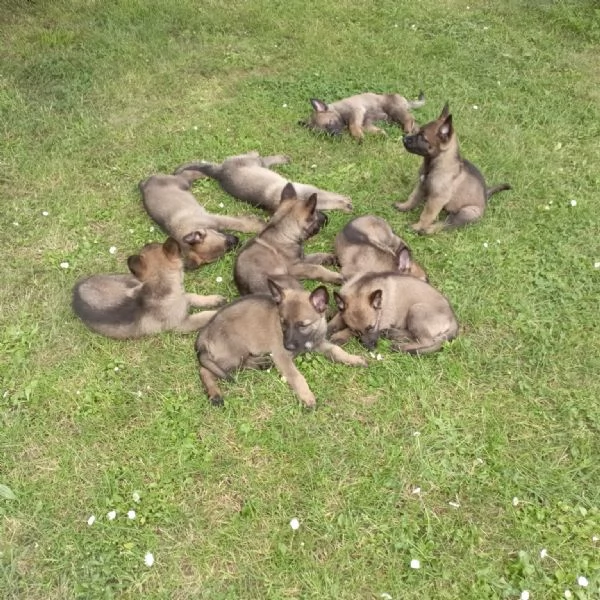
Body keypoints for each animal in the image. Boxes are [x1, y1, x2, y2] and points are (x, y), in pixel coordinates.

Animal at [72, 237, 223, 340]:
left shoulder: (183, 297)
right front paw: (218, 311)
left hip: (130, 280)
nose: (147, 243)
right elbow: (203, 316)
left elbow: (193, 296)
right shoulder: (182, 324)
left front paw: (214, 300)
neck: (161, 286)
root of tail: (76, 292)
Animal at [173, 150, 352, 213]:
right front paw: (345, 202)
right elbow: (329, 197)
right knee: (260, 156)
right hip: (253, 161)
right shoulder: (311, 191)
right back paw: (280, 157)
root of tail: (219, 172)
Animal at [196, 278, 366, 410]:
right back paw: (215, 393)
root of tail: (205, 332)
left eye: (302, 325)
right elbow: (297, 376)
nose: (288, 346)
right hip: (233, 354)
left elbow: (336, 350)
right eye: (283, 322)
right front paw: (306, 396)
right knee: (205, 370)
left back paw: (261, 363)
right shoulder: (282, 356)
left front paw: (353, 359)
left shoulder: (318, 343)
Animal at [330, 270, 458, 354]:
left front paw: (339, 336)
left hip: (416, 309)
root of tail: (453, 320)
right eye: (356, 331)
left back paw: (400, 346)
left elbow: (346, 330)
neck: (360, 288)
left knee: (427, 341)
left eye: (372, 327)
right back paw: (392, 333)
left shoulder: (382, 321)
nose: (371, 348)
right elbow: (335, 321)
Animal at [394, 103, 510, 234]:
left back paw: (428, 230)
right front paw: (404, 206)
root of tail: (485, 196)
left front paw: (418, 226)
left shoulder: (437, 199)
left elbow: (427, 215)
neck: (435, 163)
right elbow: (413, 197)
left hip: (466, 212)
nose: (404, 139)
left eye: (423, 137)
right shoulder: (421, 185)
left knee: (446, 224)